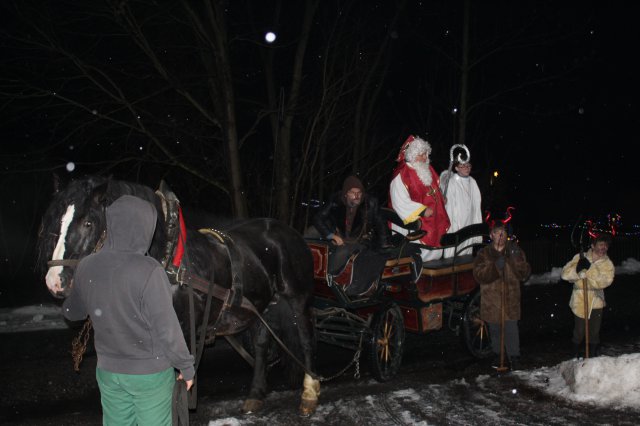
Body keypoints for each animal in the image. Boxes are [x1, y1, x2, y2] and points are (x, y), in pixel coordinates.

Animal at [36, 175, 320, 414]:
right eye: (56, 224)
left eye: (88, 223)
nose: (55, 282)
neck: (169, 259)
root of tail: (290, 231)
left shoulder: (183, 331)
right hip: (262, 305)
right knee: (262, 344)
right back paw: (256, 394)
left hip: (298, 298)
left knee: (305, 339)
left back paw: (309, 394)